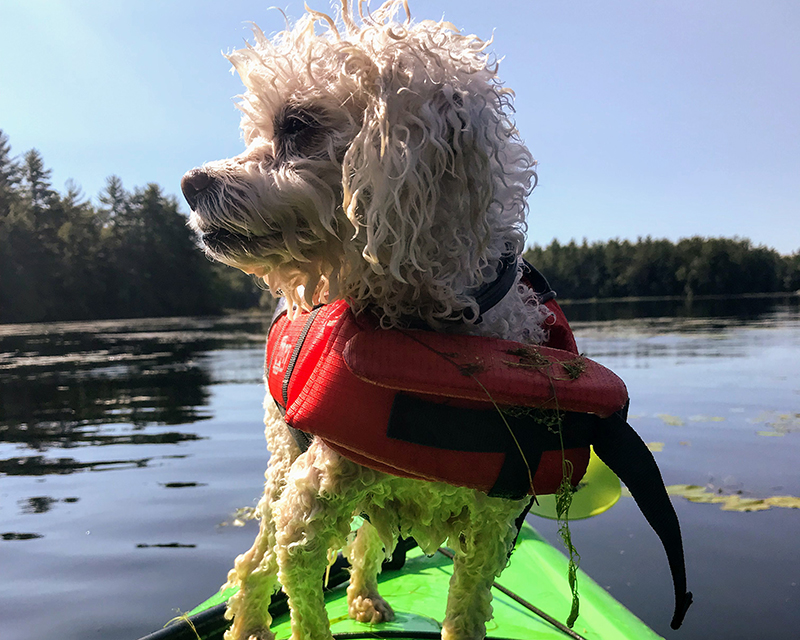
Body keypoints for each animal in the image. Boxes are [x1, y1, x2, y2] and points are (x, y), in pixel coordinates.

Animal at [181, 2, 556, 636]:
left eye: (297, 123)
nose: (189, 184)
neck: (429, 334)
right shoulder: (307, 509)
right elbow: (301, 596)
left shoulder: (491, 531)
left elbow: (466, 606)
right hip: (285, 464)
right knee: (254, 563)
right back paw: (250, 623)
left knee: (363, 544)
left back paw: (363, 599)